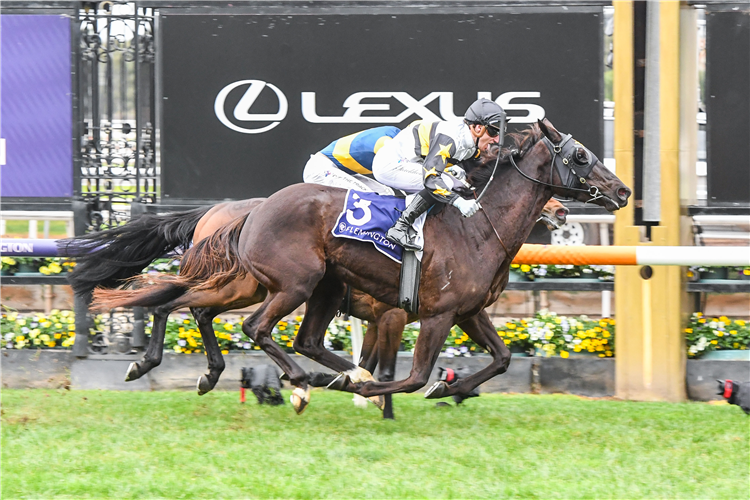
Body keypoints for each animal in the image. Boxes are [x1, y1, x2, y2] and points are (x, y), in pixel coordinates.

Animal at [169, 120, 628, 410]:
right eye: (581, 155)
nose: (622, 191)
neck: (478, 226)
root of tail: (254, 210)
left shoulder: (469, 311)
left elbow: (501, 358)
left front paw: (449, 389)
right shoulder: (435, 314)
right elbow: (414, 376)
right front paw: (384, 389)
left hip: (319, 286)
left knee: (299, 338)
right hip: (293, 284)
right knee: (253, 326)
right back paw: (302, 384)